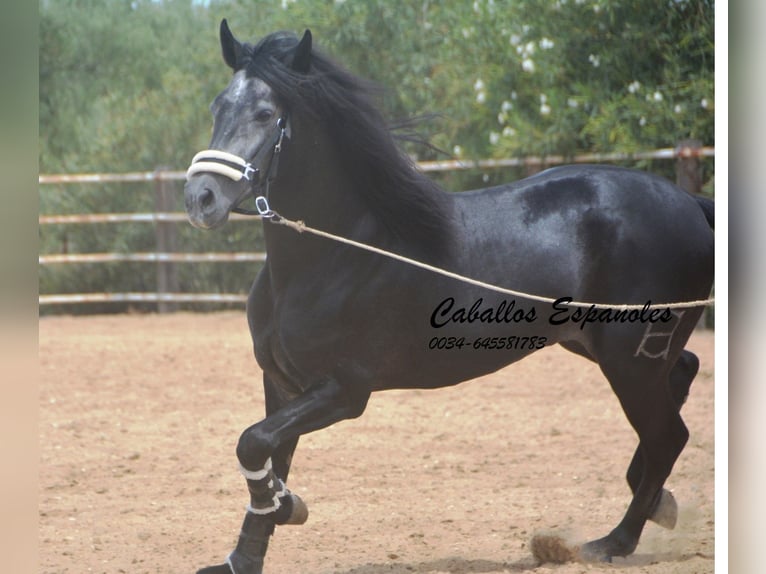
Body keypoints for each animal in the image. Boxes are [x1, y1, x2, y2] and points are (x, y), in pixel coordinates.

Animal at [183, 20, 716, 574]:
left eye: (266, 113)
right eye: (218, 106)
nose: (200, 198)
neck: (335, 254)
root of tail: (691, 203)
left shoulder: (345, 390)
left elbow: (253, 443)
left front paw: (287, 507)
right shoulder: (283, 382)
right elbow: (270, 450)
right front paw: (246, 552)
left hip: (628, 358)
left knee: (668, 434)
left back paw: (612, 542)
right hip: (606, 347)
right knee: (682, 378)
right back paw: (655, 502)